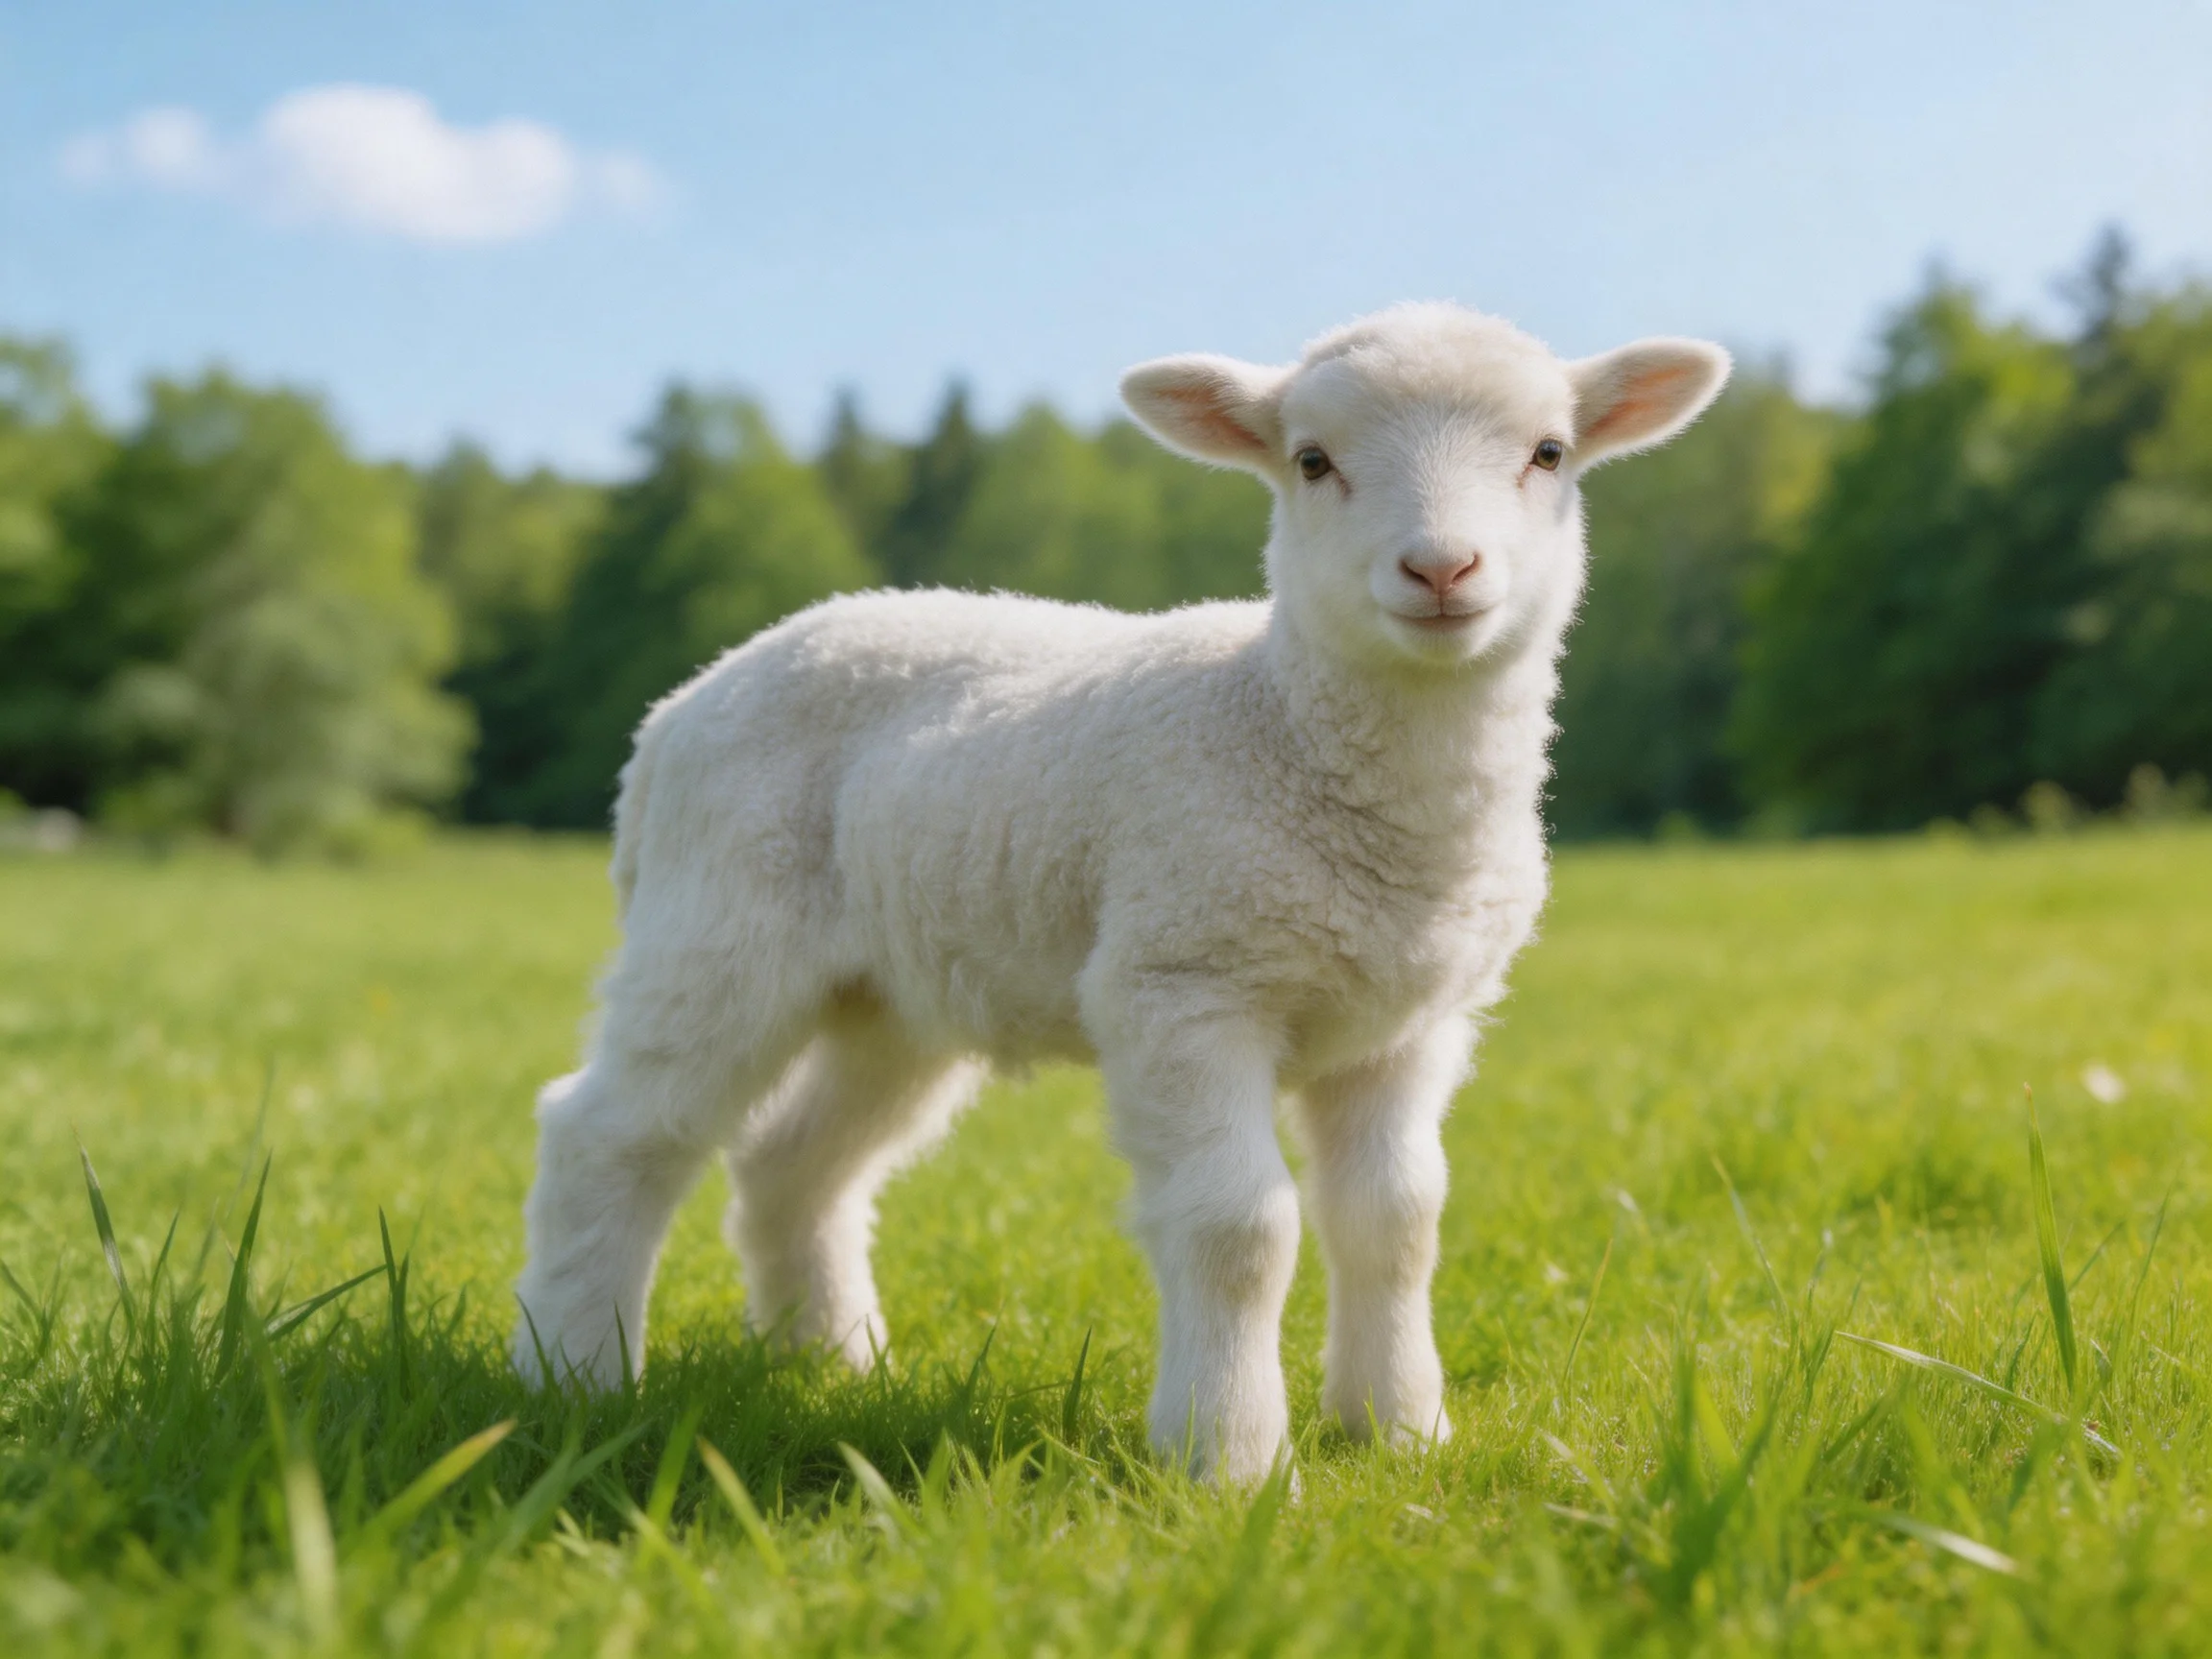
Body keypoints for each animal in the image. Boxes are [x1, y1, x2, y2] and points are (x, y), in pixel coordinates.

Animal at [511, 302, 1729, 1482]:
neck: (1291, 732)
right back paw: (573, 1376)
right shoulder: (1182, 981)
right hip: (717, 925)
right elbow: (1240, 1229)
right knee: (611, 1134)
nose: (1441, 570)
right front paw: (1230, 1461)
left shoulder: (1408, 1023)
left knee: (793, 1162)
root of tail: (676, 713)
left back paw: (830, 1364)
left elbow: (1396, 1221)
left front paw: (1399, 1433)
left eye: (1549, 452)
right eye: (1313, 460)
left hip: (891, 993)